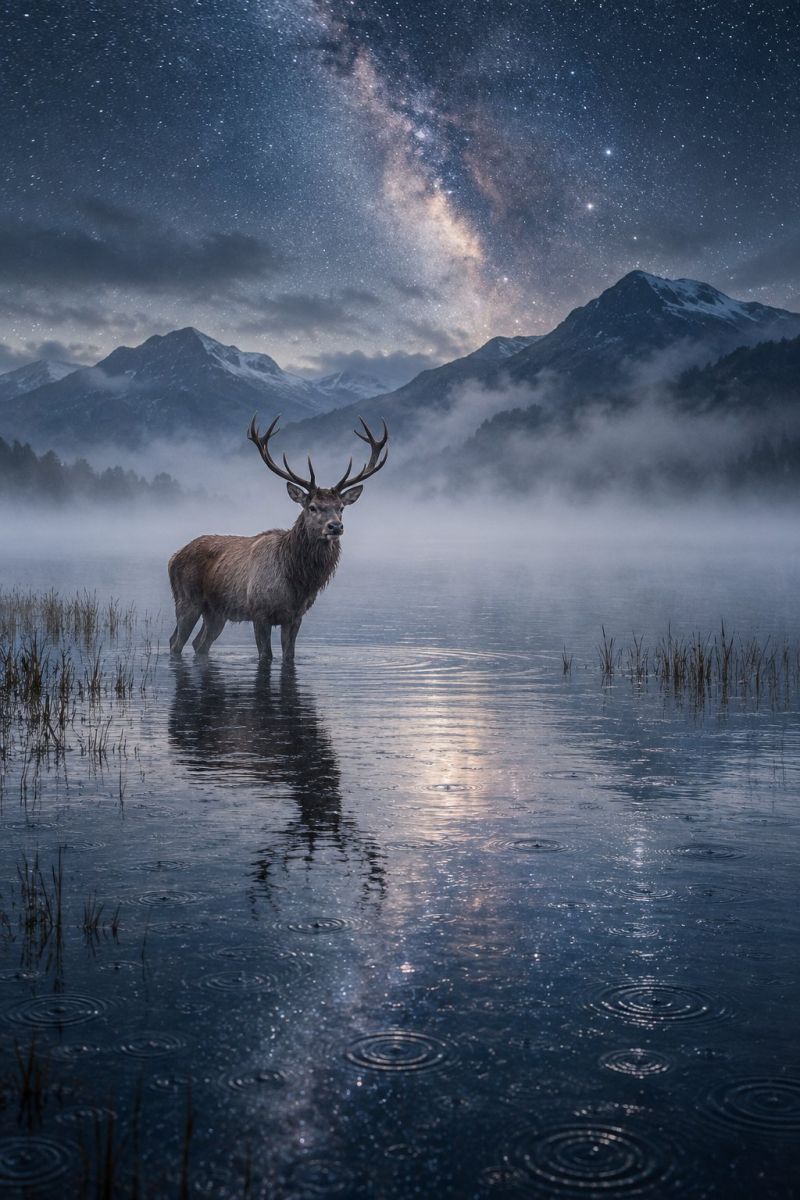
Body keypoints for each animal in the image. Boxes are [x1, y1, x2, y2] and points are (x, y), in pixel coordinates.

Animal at [168, 414, 388, 664]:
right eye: (312, 507)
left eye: (341, 507)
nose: (335, 526)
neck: (297, 580)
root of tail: (173, 557)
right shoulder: (259, 612)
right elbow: (266, 656)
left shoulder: (295, 616)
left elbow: (289, 655)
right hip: (187, 600)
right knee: (176, 642)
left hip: (216, 612)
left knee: (200, 644)